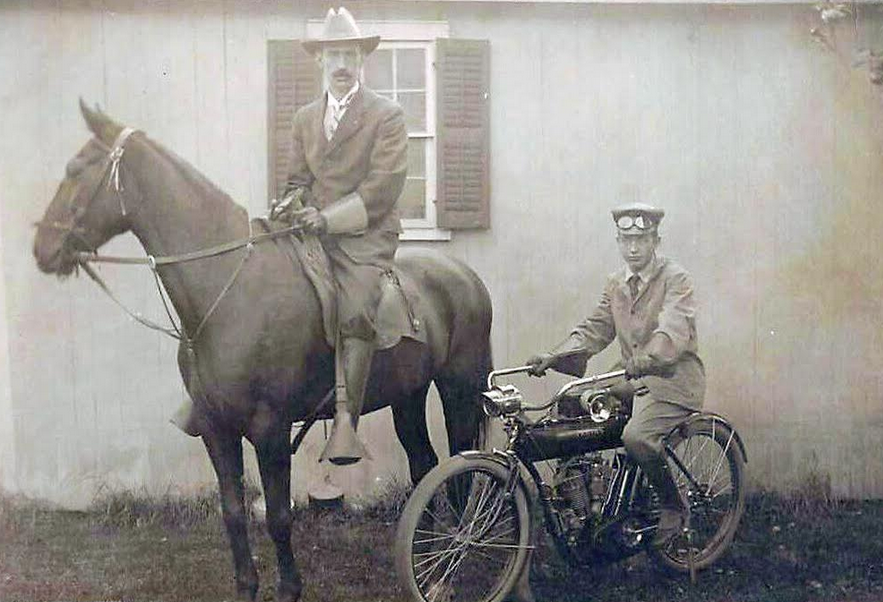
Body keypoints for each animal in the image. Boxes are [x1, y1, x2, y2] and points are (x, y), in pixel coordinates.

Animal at [32, 101, 493, 602]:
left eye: (75, 170)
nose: (42, 248)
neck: (229, 287)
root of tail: (466, 276)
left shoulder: (269, 428)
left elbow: (278, 517)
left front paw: (289, 588)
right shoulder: (217, 428)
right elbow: (233, 513)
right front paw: (246, 586)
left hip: (458, 390)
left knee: (461, 472)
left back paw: (455, 560)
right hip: (407, 395)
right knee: (424, 465)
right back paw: (430, 558)